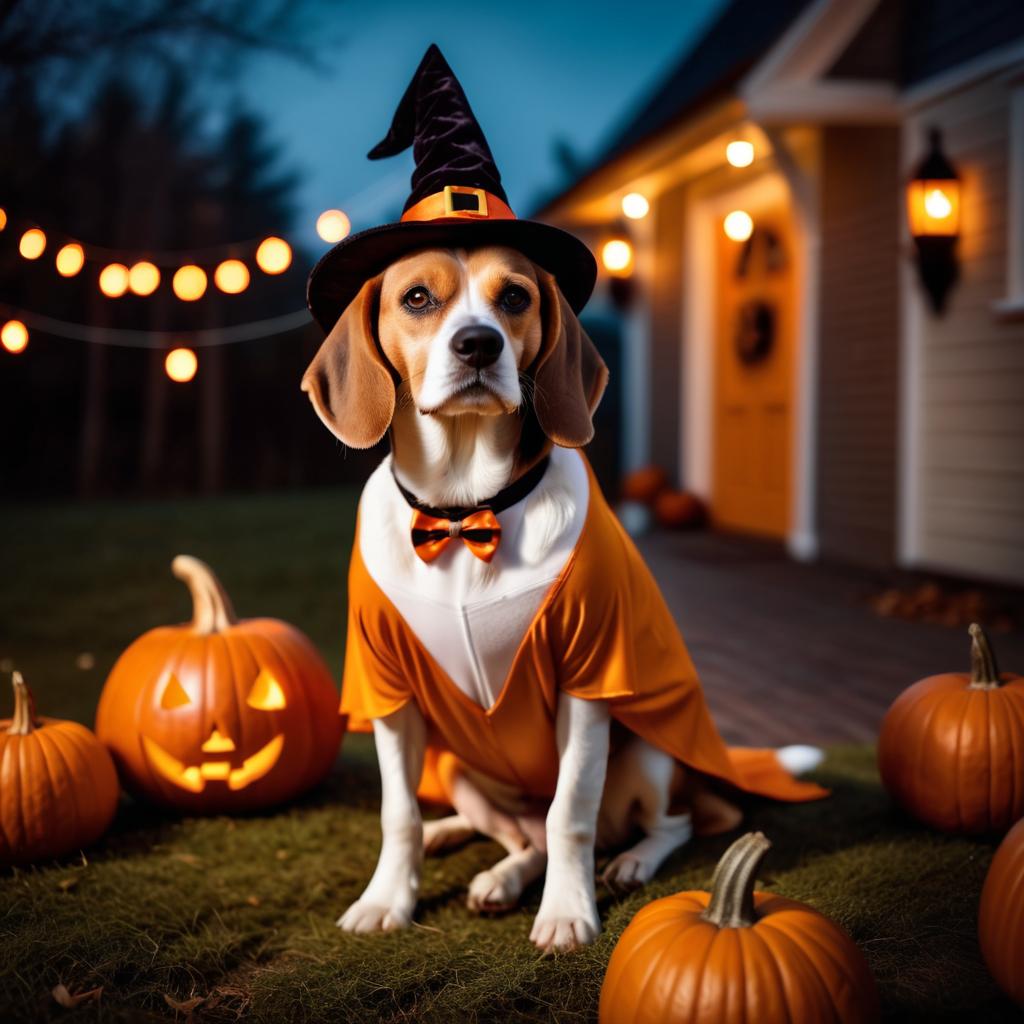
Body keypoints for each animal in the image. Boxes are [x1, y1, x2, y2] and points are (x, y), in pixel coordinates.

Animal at [299, 243, 819, 954]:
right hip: (460, 770)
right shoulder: (389, 694)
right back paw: (474, 855)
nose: (479, 343)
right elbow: (397, 814)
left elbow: (569, 813)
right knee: (520, 838)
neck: (463, 514)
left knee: (663, 824)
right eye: (417, 299)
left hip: (650, 755)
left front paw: (568, 913)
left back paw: (628, 862)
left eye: (515, 297)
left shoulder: (591, 680)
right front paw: (386, 900)